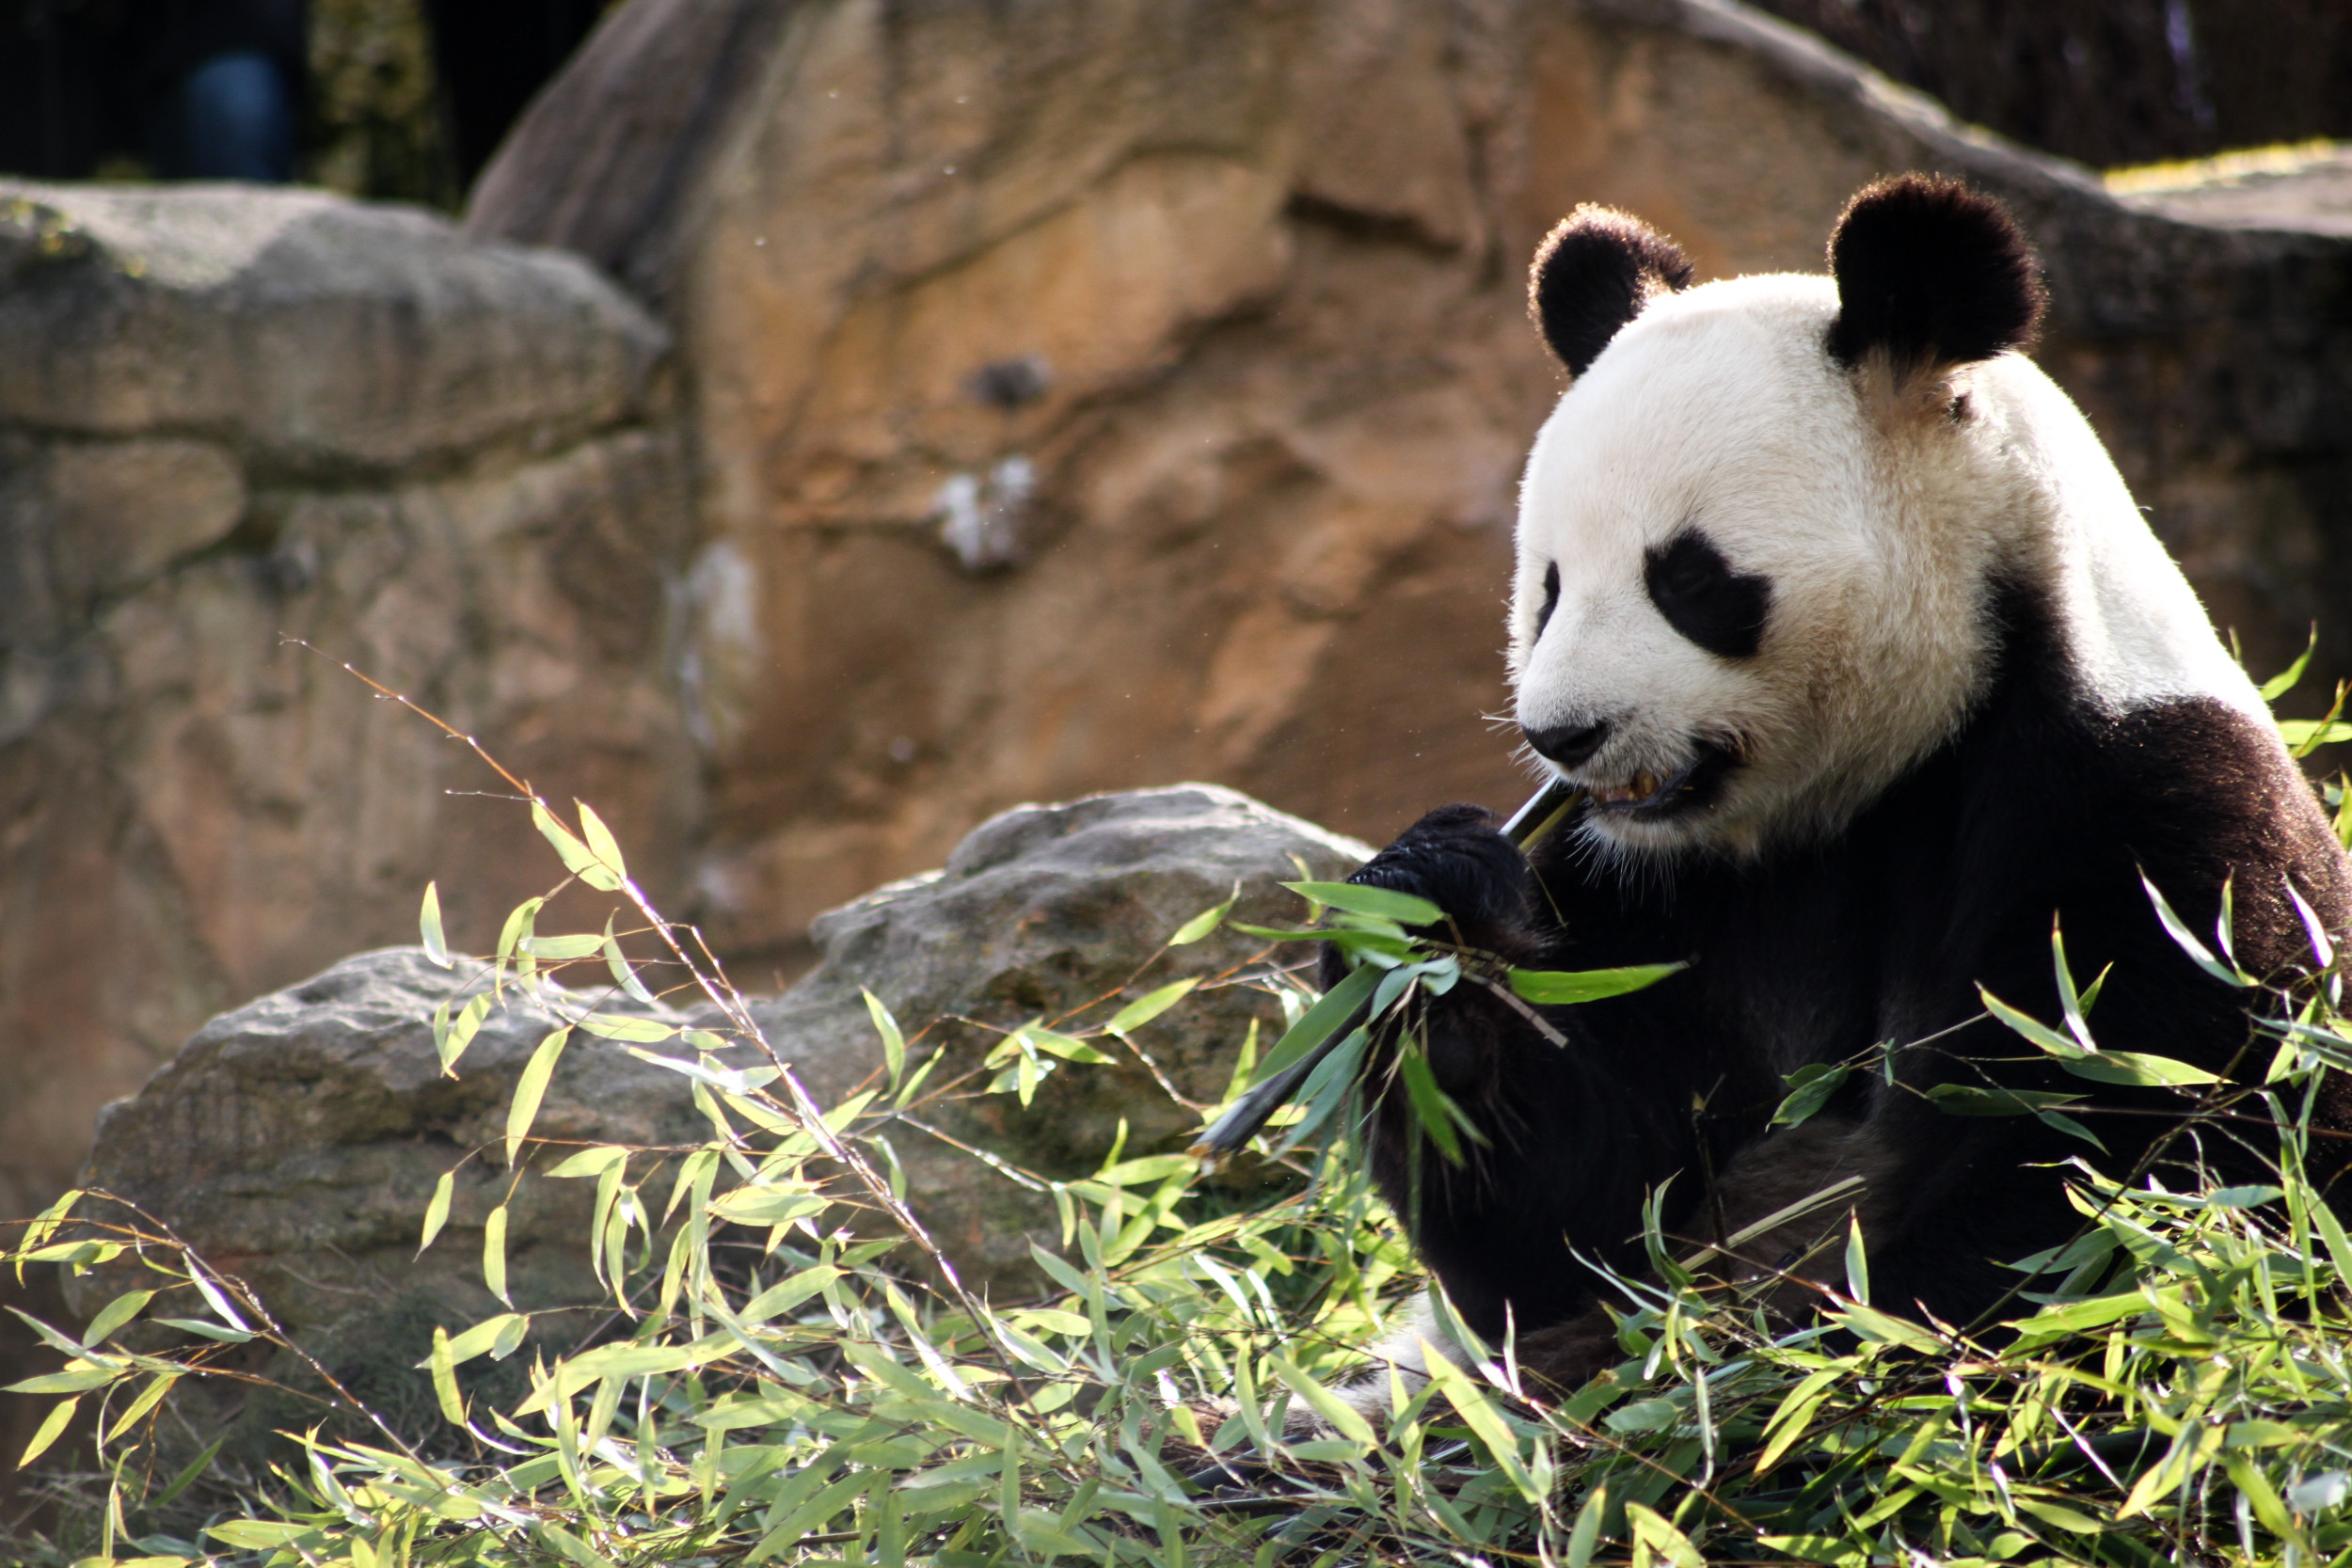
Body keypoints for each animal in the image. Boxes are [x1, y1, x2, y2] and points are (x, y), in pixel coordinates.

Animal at [1336, 175, 2352, 1401]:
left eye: (1688, 580)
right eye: (1547, 586)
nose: (1563, 734)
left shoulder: (2145, 815)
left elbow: (2147, 1149)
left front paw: (1829, 1348)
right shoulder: (1637, 888)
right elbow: (1576, 1218)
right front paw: (1427, 911)